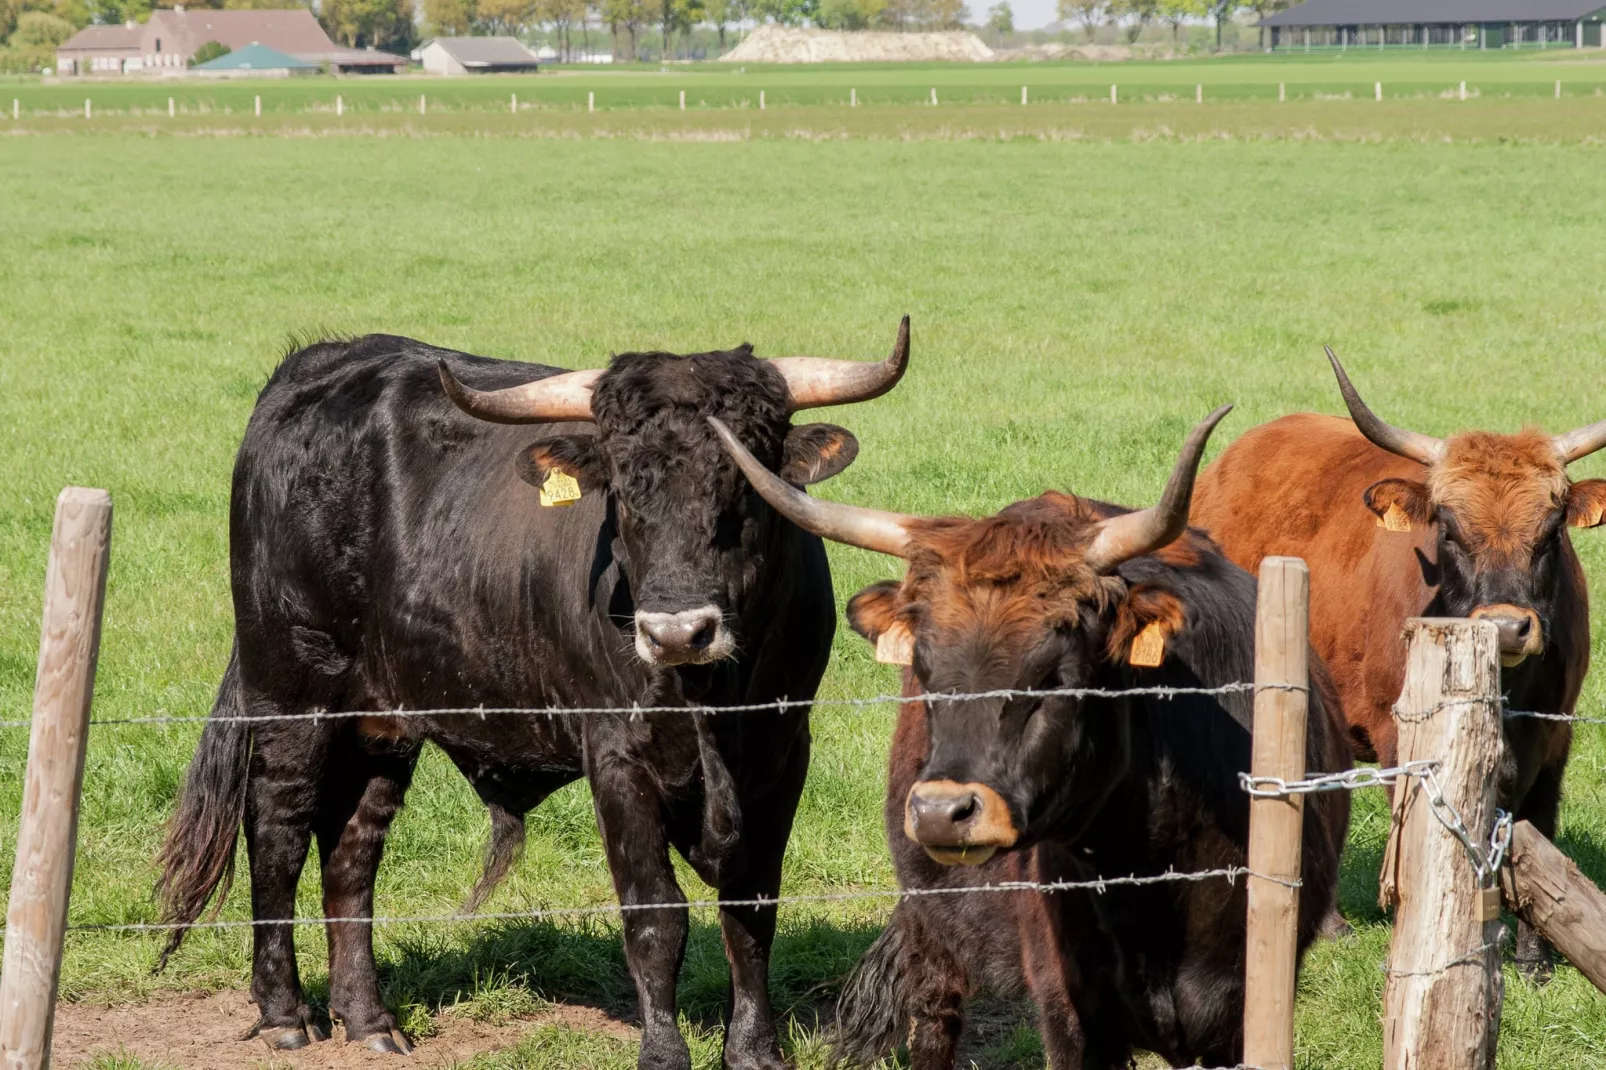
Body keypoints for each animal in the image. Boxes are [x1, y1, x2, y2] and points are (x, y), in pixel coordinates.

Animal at [161, 324, 912, 1066]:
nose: (676, 632)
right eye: (622, 490)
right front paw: (663, 1053)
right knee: (277, 831)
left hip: (383, 724)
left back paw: (370, 1019)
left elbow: (751, 907)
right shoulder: (615, 753)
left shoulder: (784, 751)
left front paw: (756, 1052)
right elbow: (654, 915)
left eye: (747, 485)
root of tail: (318, 363)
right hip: (291, 691)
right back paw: (285, 1013)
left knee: (353, 849)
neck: (710, 703)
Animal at [709, 406, 1349, 1060]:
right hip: (932, 926)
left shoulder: (1241, 1016)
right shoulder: (1070, 1009)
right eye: (925, 672)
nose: (941, 813)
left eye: (1054, 676)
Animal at [1194, 350, 1606, 976]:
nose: (1505, 625)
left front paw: (1533, 962)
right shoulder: (1401, 738)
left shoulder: (1555, 735)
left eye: (1552, 527)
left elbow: (1540, 826)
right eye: (1448, 527)